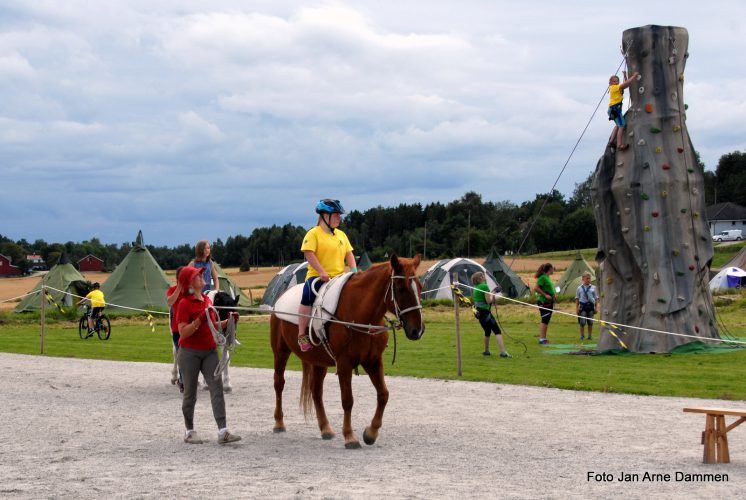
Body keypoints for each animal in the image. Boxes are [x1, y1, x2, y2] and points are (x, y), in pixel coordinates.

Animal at [270, 254, 424, 450]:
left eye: (420, 287)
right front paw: (350, 436)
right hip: (281, 352)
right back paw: (279, 423)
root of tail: (280, 298)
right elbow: (347, 400)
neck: (359, 314)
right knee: (279, 383)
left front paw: (371, 433)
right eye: (401, 288)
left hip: (319, 362)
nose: (417, 330)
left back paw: (325, 428)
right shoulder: (344, 364)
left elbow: (383, 395)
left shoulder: (373, 361)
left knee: (316, 391)